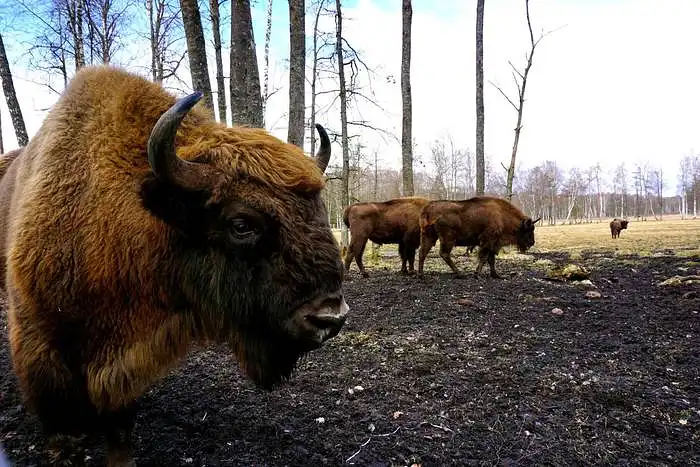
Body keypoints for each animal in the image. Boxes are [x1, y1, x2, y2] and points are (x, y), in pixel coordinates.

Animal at [0, 66, 348, 467]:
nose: (331, 316)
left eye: (318, 209)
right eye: (241, 224)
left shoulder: (123, 364)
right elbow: (60, 426)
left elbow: (119, 423)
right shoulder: (41, 350)